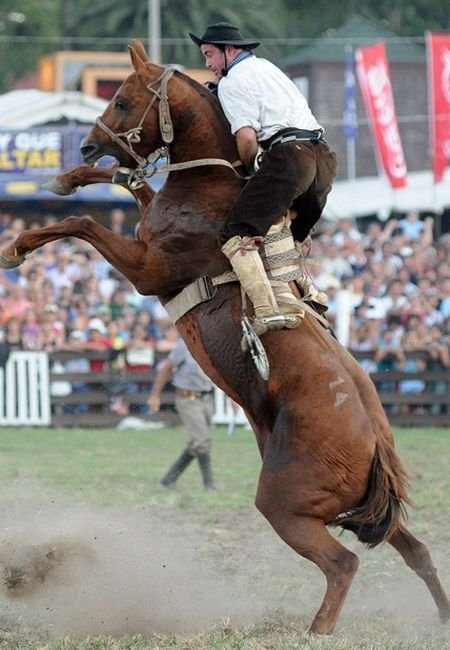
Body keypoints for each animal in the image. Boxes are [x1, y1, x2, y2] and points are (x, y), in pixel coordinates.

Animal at [1, 41, 448, 632]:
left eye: (121, 100)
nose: (87, 143)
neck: (209, 188)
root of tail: (375, 440)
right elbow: (130, 184)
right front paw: (69, 178)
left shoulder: (147, 270)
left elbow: (84, 224)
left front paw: (17, 246)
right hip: (365, 512)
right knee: (416, 551)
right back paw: (441, 615)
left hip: (286, 506)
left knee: (343, 563)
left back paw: (315, 632)